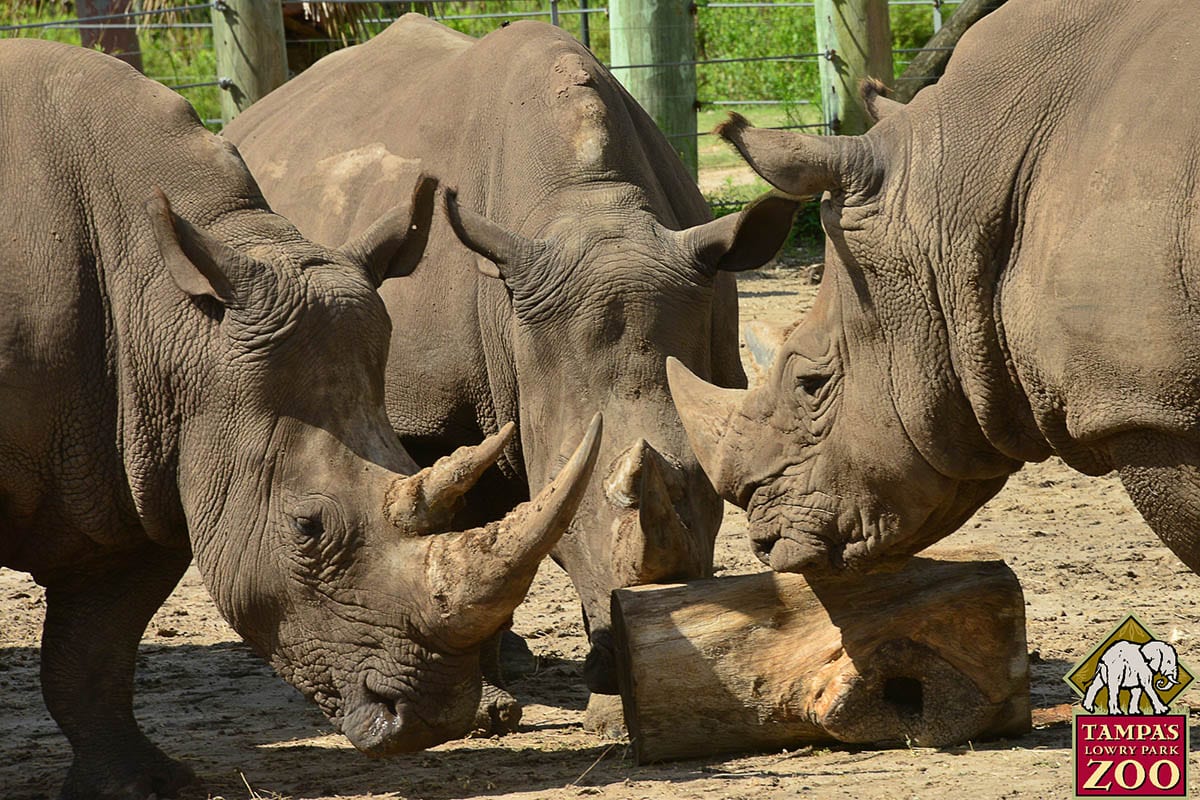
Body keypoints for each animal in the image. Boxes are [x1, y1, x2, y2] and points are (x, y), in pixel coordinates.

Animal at [0, 40, 600, 799]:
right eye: (306, 528)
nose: (432, 719)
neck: (169, 316)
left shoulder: (143, 465)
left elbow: (92, 654)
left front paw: (143, 785)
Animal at [224, 14, 798, 704]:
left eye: (711, 496)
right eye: (573, 518)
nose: (657, 616)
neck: (590, 204)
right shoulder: (428, 408)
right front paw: (493, 702)